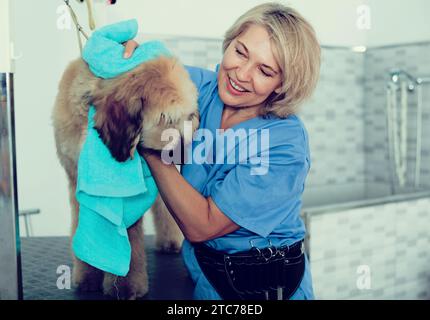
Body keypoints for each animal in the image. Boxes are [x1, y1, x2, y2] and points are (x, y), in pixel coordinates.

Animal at [52, 57, 198, 300]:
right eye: (166, 117)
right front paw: (87, 277)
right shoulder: (77, 183)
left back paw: (170, 241)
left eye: (190, 116)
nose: (185, 149)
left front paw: (125, 287)